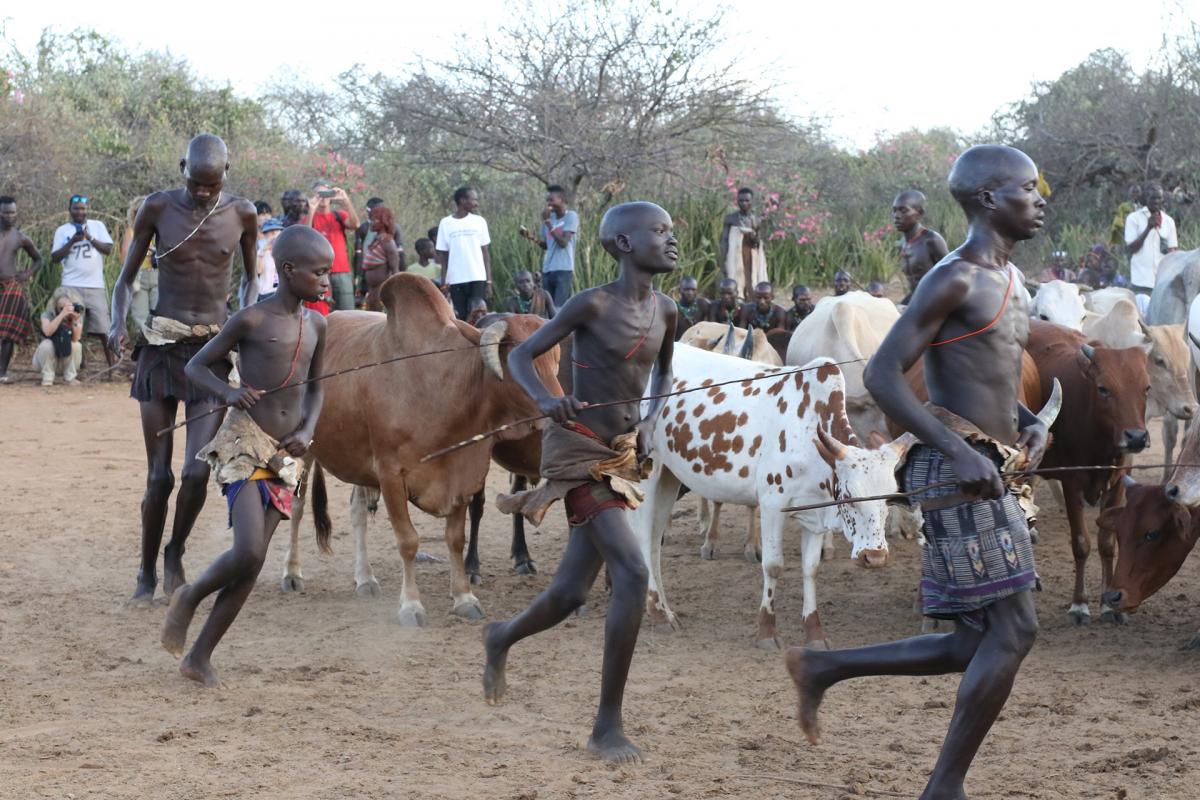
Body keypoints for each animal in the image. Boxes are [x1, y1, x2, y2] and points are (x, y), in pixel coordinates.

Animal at [284, 275, 561, 623]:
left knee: (357, 511)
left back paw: (365, 578)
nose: (561, 407)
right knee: (296, 506)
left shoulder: (462, 471)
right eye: (520, 361)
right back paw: (292, 573)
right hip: (302, 448)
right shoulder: (390, 473)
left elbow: (455, 538)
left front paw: (464, 598)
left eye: (555, 361)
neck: (439, 384)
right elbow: (408, 541)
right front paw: (411, 605)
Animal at [633, 345, 902, 652]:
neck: (808, 432)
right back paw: (658, 614)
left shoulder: (815, 514)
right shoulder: (773, 506)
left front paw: (814, 632)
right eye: (849, 495)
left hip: (669, 476)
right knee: (643, 538)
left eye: (889, 499)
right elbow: (773, 566)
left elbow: (811, 569)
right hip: (648, 471)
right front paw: (766, 631)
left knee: (655, 542)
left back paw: (664, 609)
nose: (875, 557)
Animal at [1027, 319, 1147, 623]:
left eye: (1146, 388)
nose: (1137, 437)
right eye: (1103, 388)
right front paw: (1079, 605)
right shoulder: (1072, 483)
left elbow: (1106, 542)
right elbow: (1081, 543)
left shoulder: (1118, 482)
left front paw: (1109, 606)